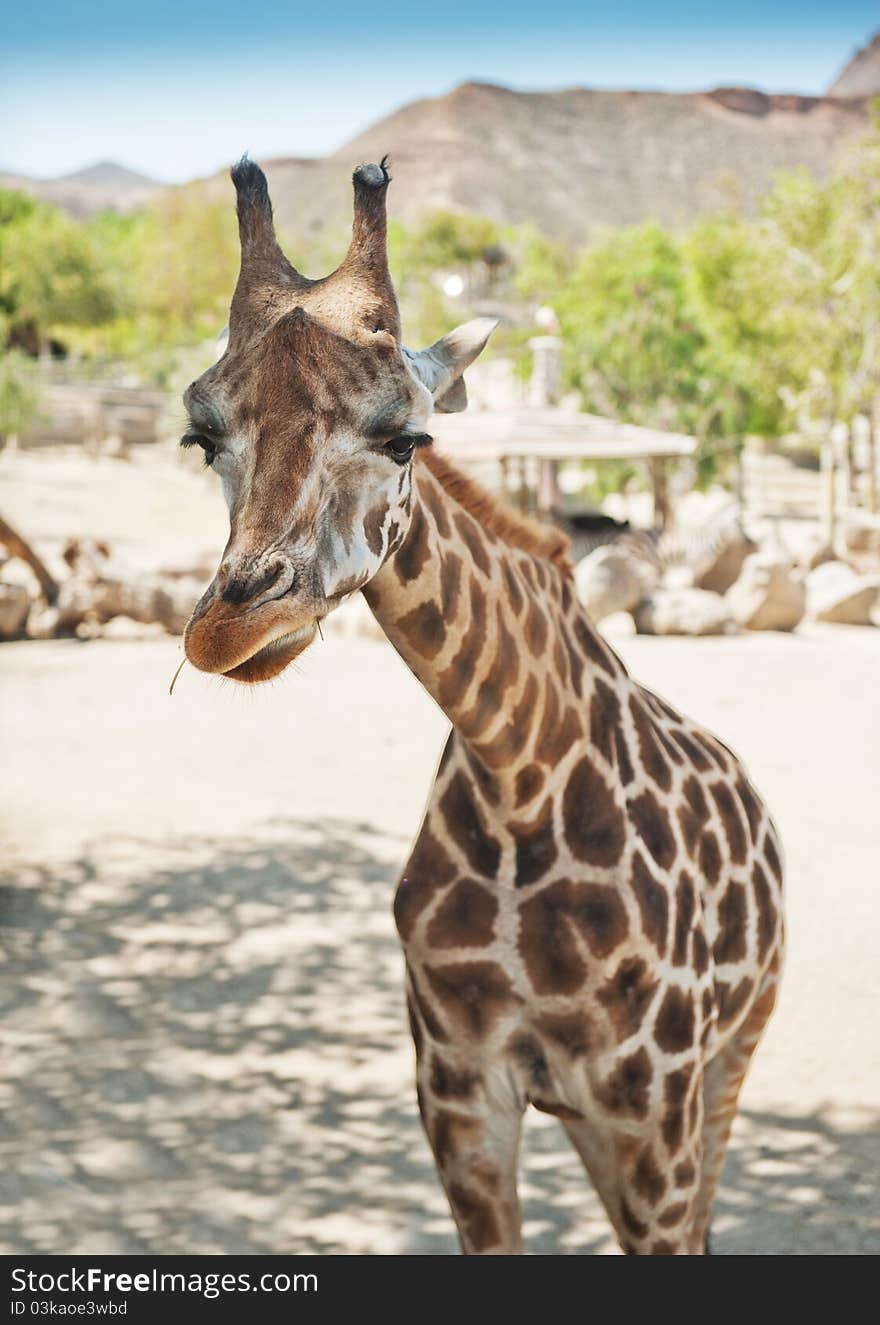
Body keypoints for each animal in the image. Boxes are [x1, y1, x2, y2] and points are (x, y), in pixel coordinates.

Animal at [178, 155, 784, 1250]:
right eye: (201, 437)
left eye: (405, 436)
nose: (229, 627)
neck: (519, 771)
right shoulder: (458, 1092)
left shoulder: (651, 1106)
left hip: (728, 1060)